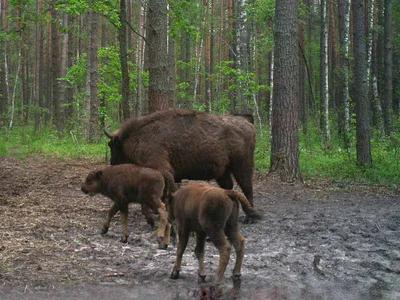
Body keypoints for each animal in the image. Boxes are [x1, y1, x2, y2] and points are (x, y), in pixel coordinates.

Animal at [105, 109, 256, 206]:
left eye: (111, 145)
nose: (112, 163)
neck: (139, 137)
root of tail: (246, 121)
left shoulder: (163, 170)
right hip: (223, 171)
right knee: (229, 186)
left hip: (242, 165)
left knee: (246, 185)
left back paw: (250, 217)